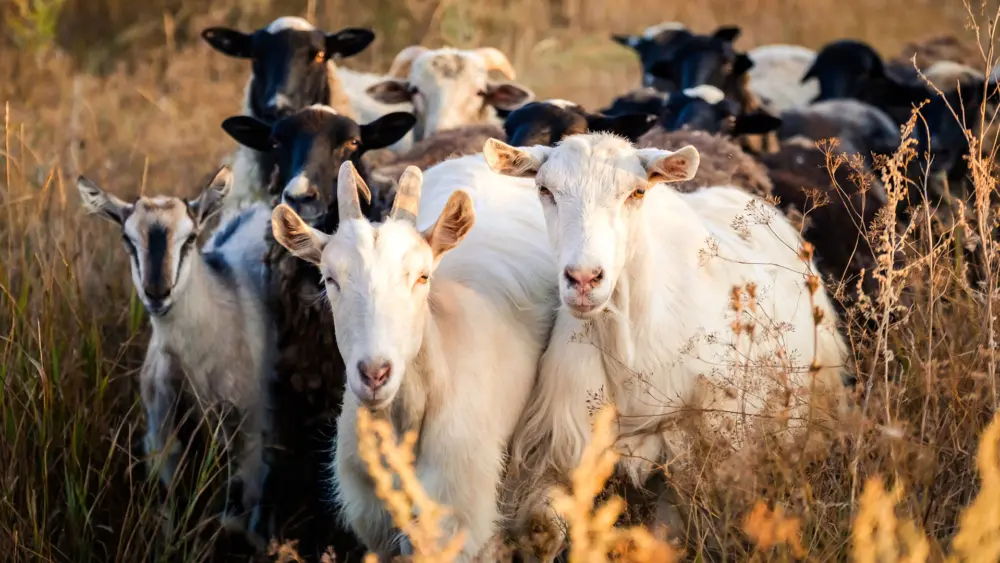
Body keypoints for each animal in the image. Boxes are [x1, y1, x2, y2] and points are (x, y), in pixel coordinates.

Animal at [77, 168, 275, 549]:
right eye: (127, 239)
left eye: (191, 237)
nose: (157, 293)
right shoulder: (162, 431)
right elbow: (170, 508)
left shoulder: (248, 427)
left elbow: (237, 510)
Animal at [221, 105, 415, 560]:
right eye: (276, 141)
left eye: (353, 143)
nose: (299, 196)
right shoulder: (280, 392)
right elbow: (274, 472)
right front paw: (264, 536)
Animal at [482, 135, 848, 558]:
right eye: (544, 190)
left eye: (637, 192)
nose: (584, 279)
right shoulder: (558, 447)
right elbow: (542, 530)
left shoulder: (693, 456)